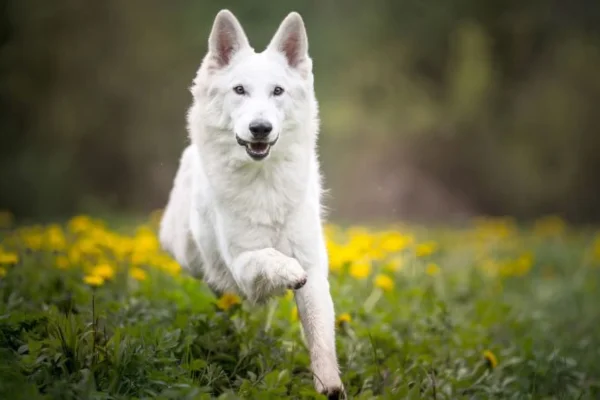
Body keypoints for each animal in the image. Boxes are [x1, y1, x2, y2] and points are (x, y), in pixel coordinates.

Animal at [159, 8, 344, 396]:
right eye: (240, 90)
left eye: (278, 91)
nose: (260, 128)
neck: (264, 182)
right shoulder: (242, 262)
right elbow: (267, 256)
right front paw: (287, 269)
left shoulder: (315, 270)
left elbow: (321, 338)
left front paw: (330, 386)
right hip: (190, 255)